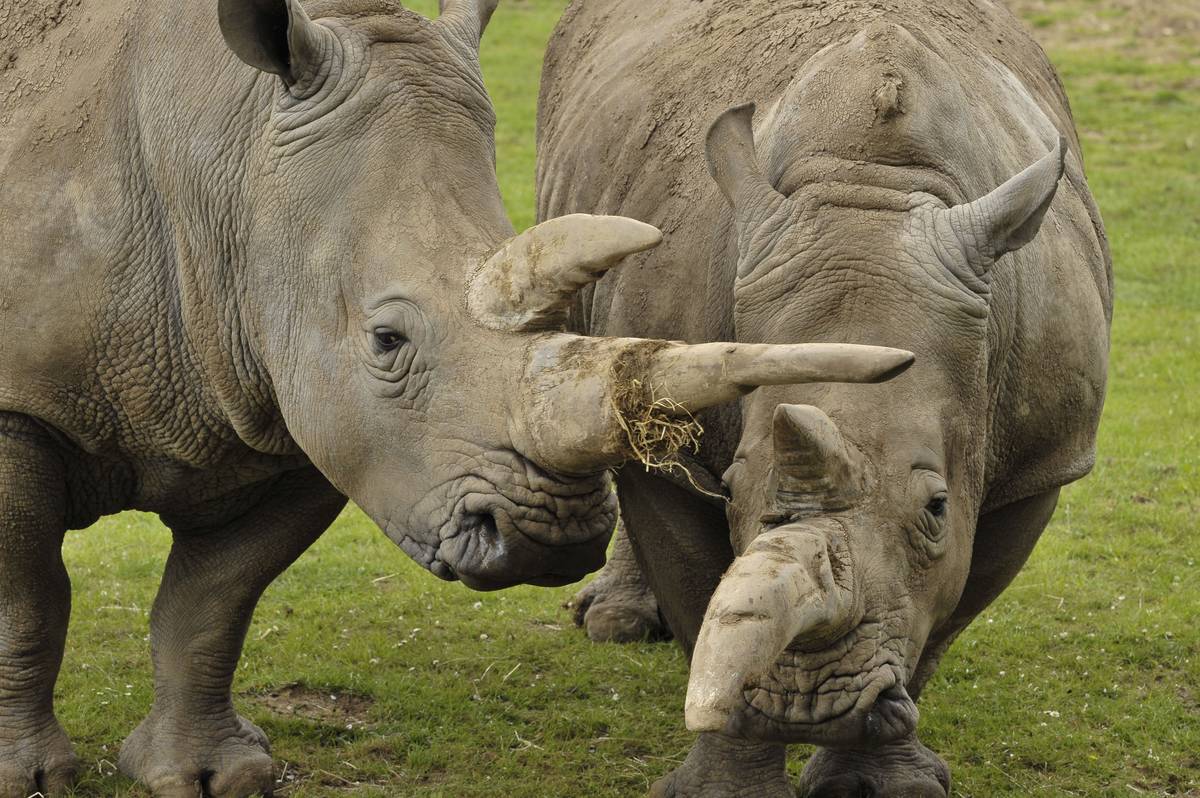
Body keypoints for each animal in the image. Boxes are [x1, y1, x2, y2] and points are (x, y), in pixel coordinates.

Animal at [0, 0, 916, 792]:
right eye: (386, 340)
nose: (548, 539)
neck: (223, 167)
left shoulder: (300, 406)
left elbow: (212, 600)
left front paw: (207, 776)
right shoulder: (22, 409)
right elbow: (29, 599)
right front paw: (29, 778)